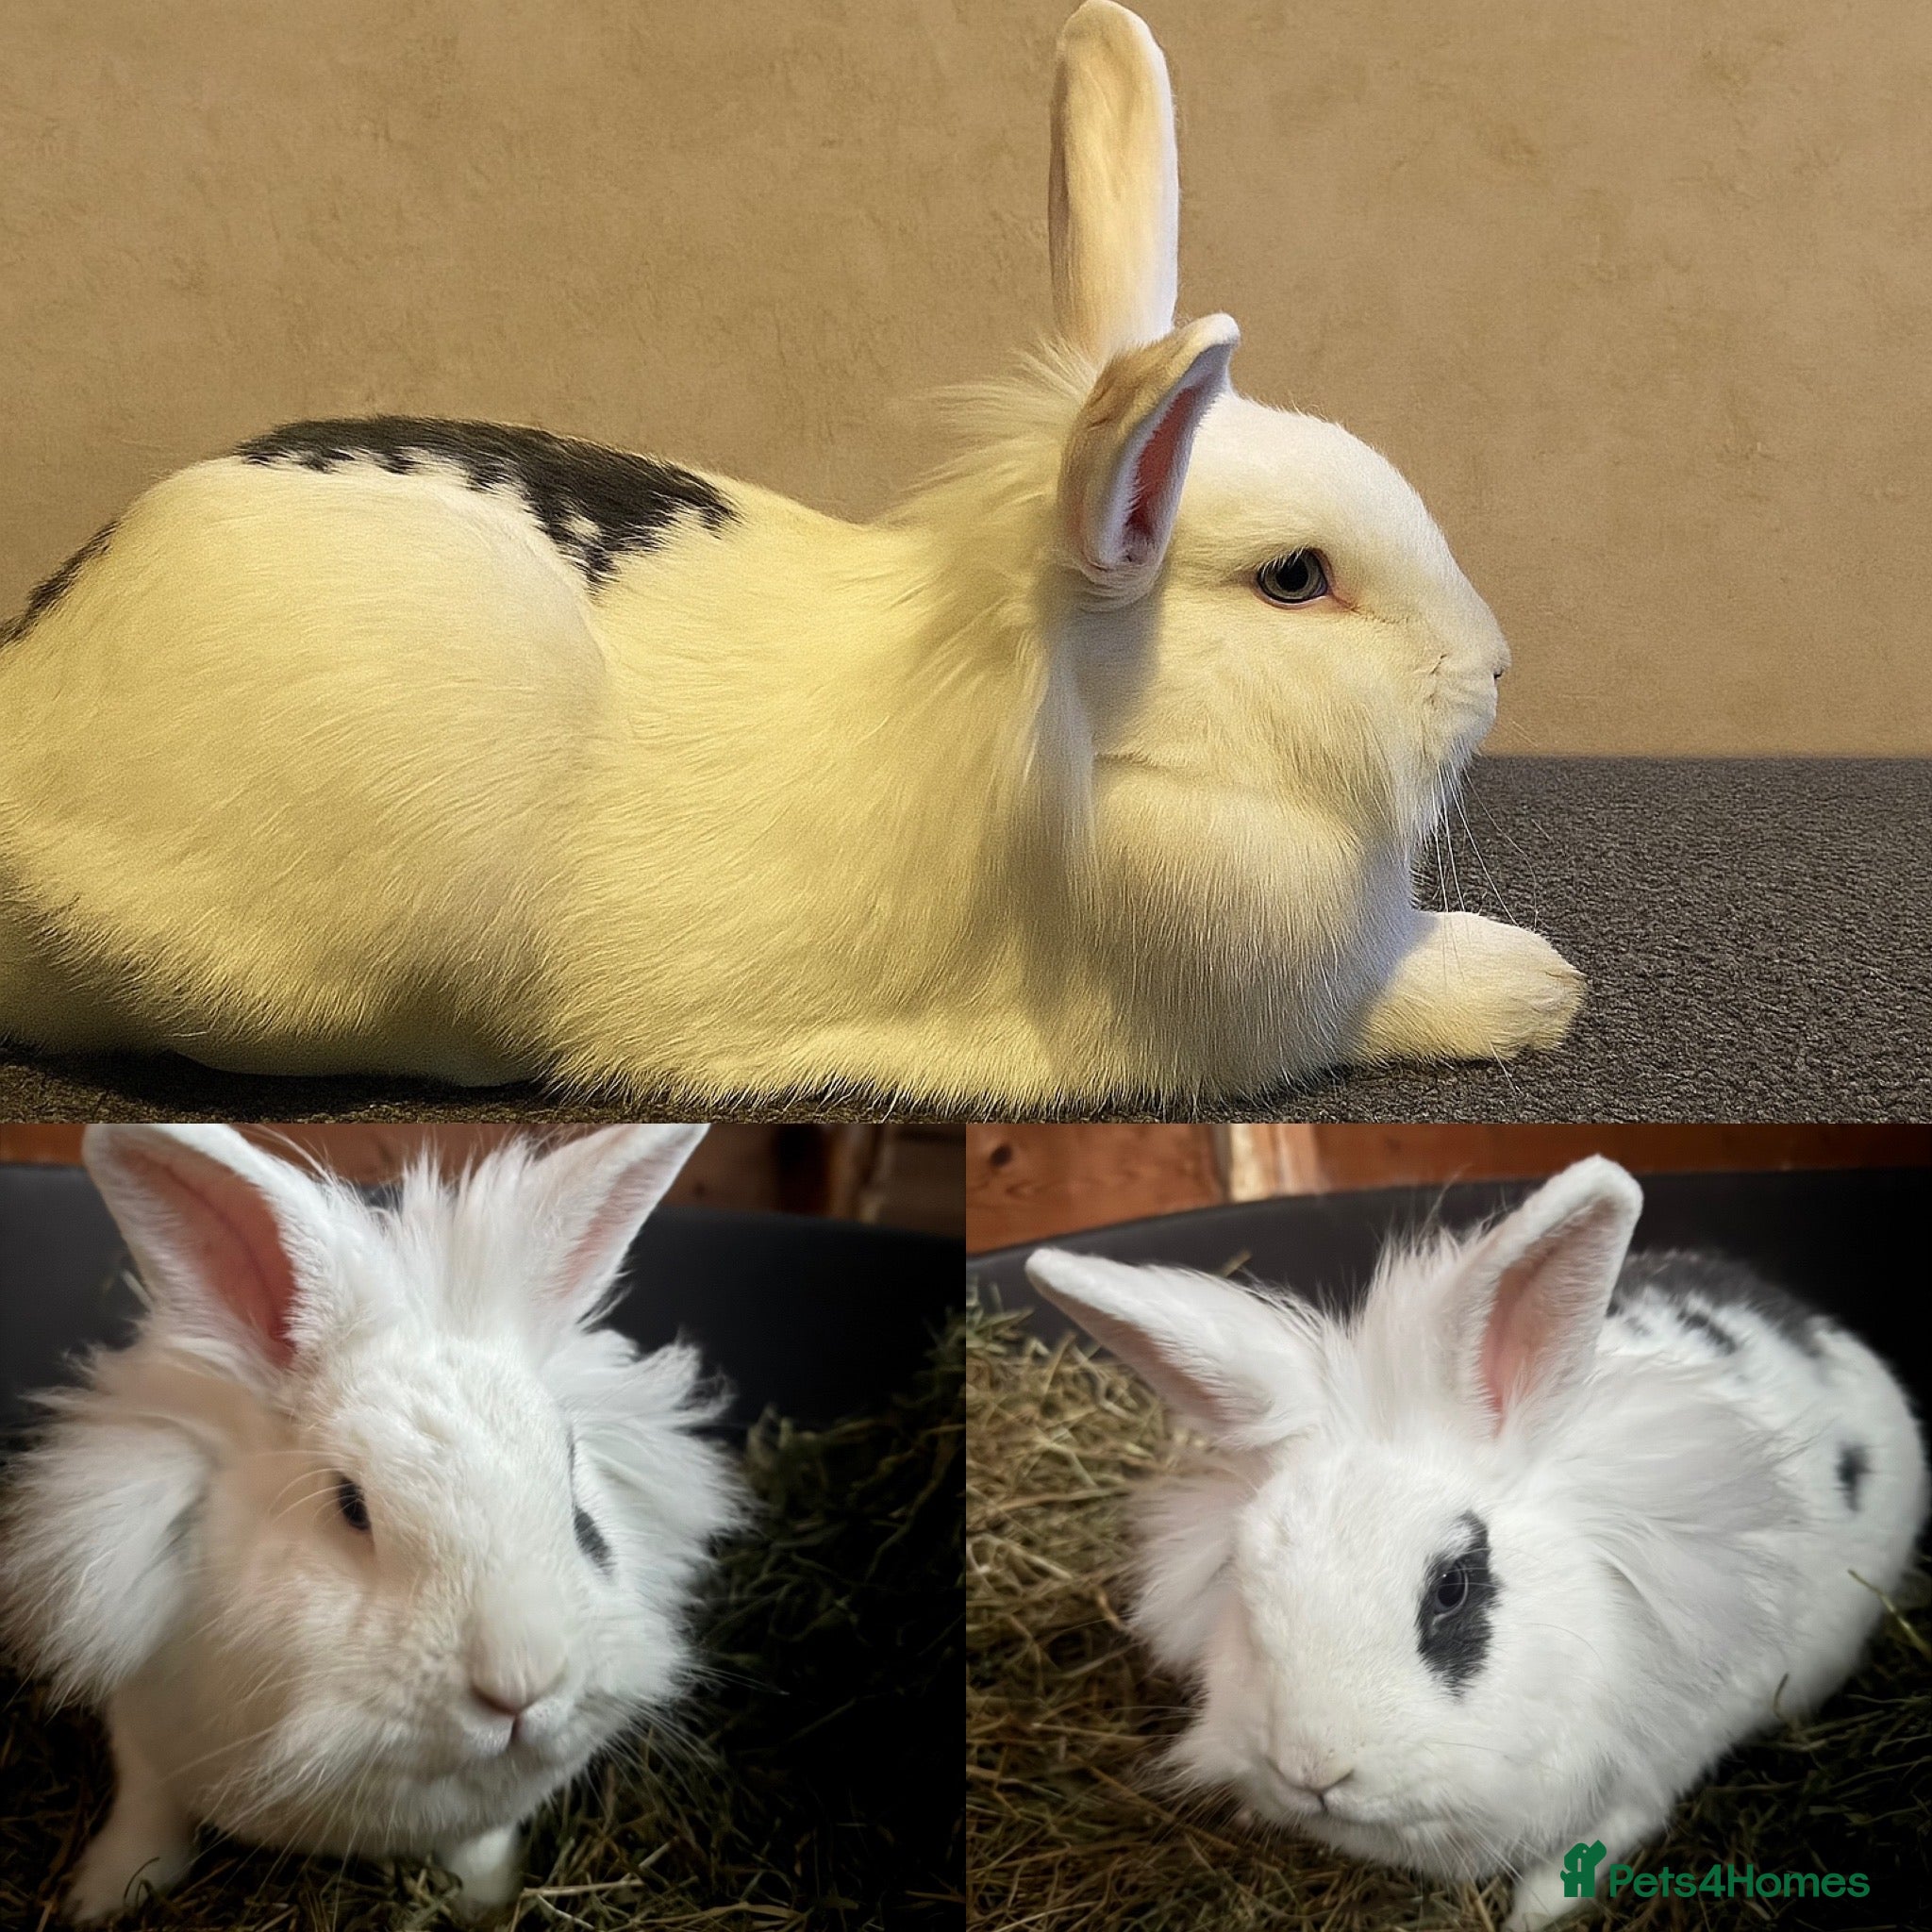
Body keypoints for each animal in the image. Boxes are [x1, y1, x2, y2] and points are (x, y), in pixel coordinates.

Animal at [0, 1, 1583, 1113]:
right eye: (1295, 579)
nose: (1497, 669)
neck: (1103, 732)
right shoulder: (1261, 1006)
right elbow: (1396, 999)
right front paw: (1539, 989)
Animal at [0, 1122, 742, 1923]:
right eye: (351, 1506)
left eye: (583, 1519)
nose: (521, 1687)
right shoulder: (141, 1738)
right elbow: (146, 1820)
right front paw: (97, 1901)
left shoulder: (491, 1818)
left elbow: (481, 1852)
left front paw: (488, 1906)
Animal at [1024, 1157, 1928, 1930]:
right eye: (1243, 1585)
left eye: (1452, 1587)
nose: (1314, 1770)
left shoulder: (1657, 1757)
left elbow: (1594, 1845)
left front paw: (1532, 1913)